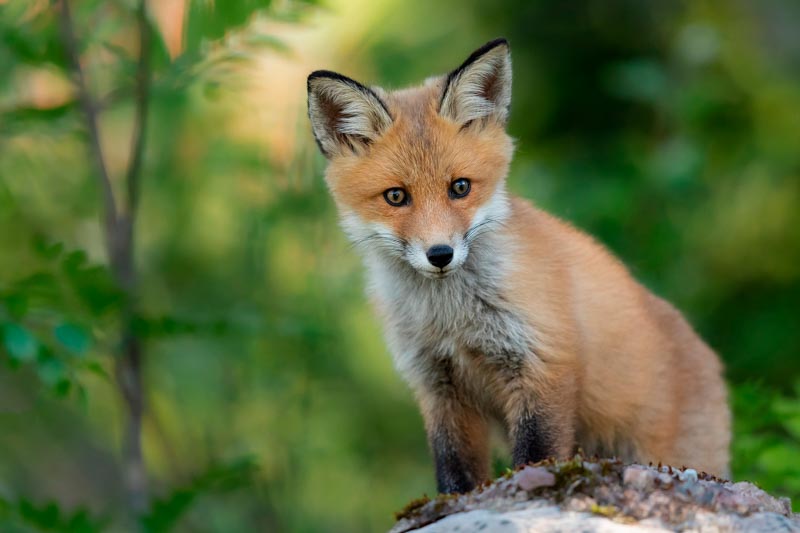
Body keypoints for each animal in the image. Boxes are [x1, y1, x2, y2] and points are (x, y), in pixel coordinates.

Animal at [306, 38, 731, 494]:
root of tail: (713, 360)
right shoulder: (438, 384)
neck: (453, 319)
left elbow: (536, 450)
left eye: (460, 187)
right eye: (396, 197)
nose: (440, 254)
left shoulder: (541, 361)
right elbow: (454, 468)